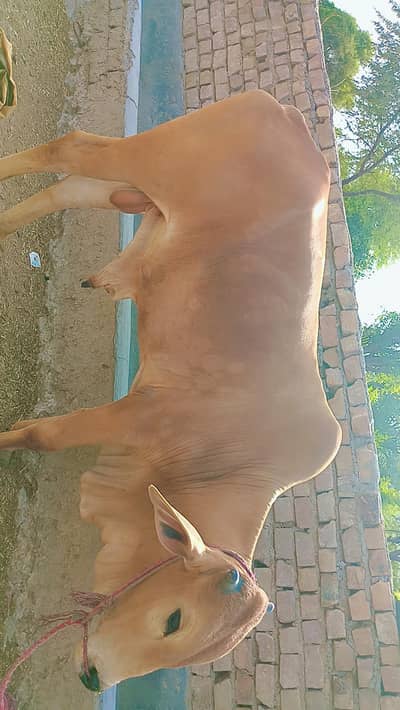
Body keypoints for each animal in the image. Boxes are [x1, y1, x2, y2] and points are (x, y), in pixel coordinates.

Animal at [0, 90, 341, 692]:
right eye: (174, 619)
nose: (96, 678)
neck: (228, 463)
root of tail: (289, 118)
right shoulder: (137, 414)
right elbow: (47, 436)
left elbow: (35, 432)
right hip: (147, 159)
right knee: (71, 149)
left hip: (136, 188)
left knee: (66, 186)